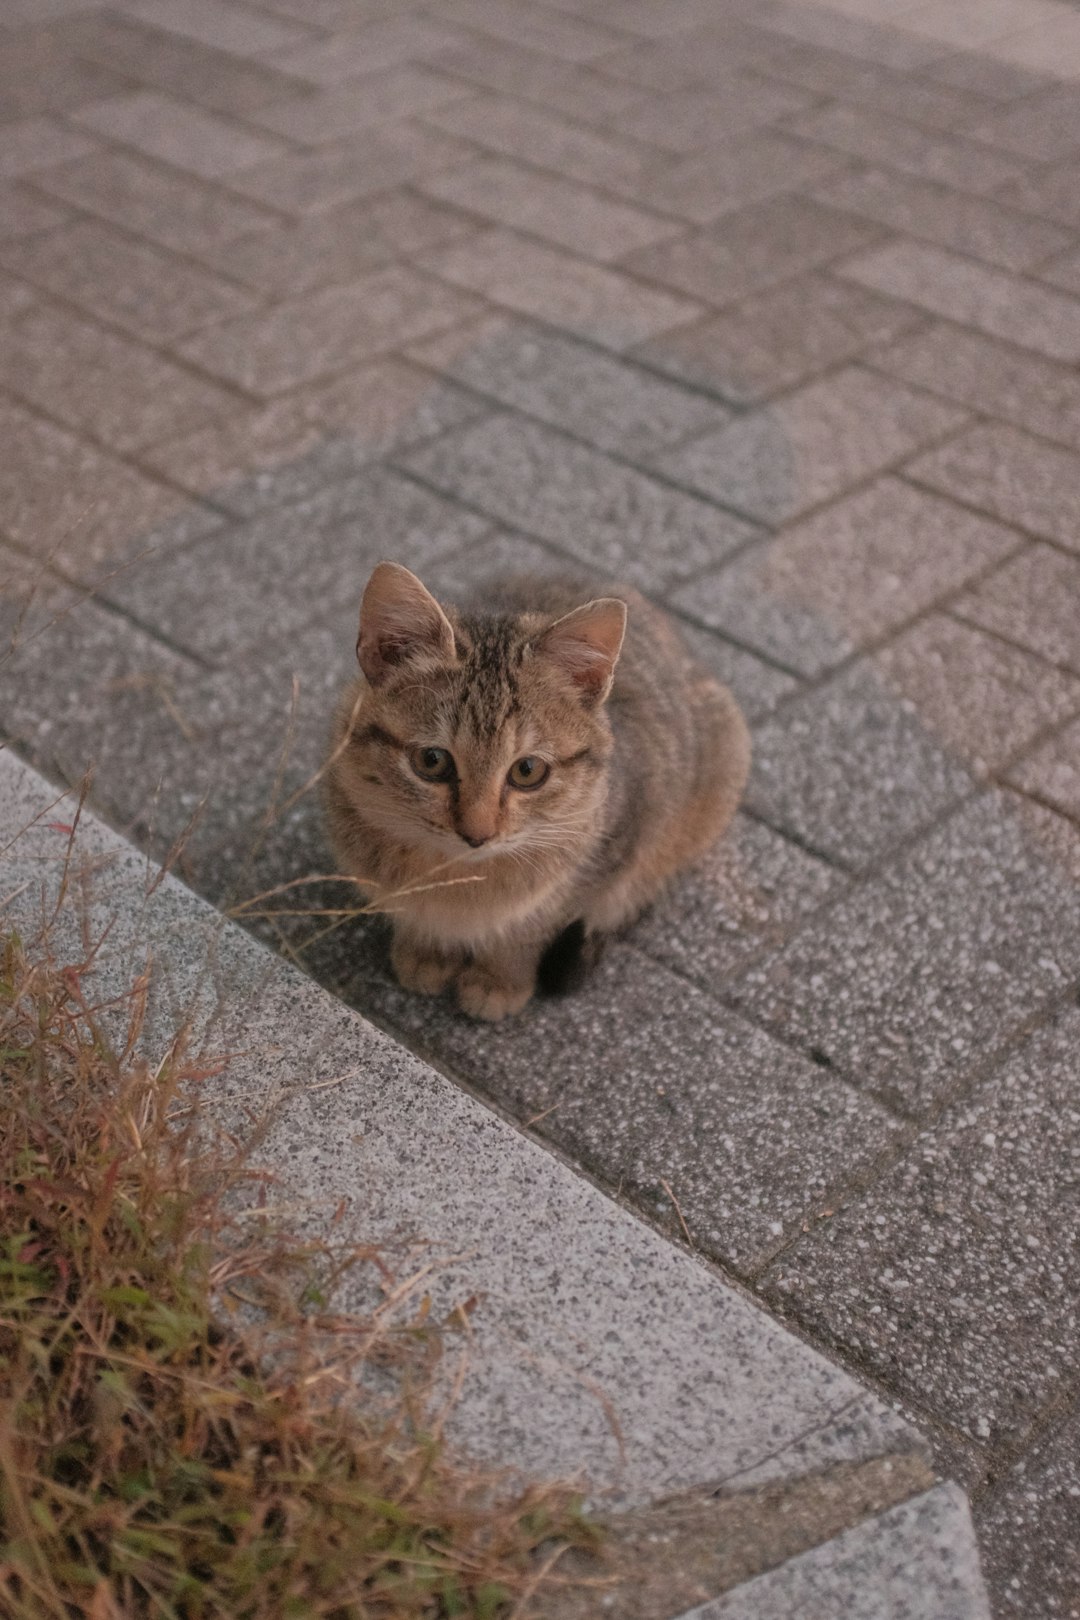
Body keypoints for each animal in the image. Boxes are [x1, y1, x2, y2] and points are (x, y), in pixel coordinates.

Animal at [327, 563, 751, 1017]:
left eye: (527, 771)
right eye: (432, 761)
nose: (477, 834)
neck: (458, 879)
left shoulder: (606, 862)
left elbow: (529, 932)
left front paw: (499, 980)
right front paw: (426, 952)